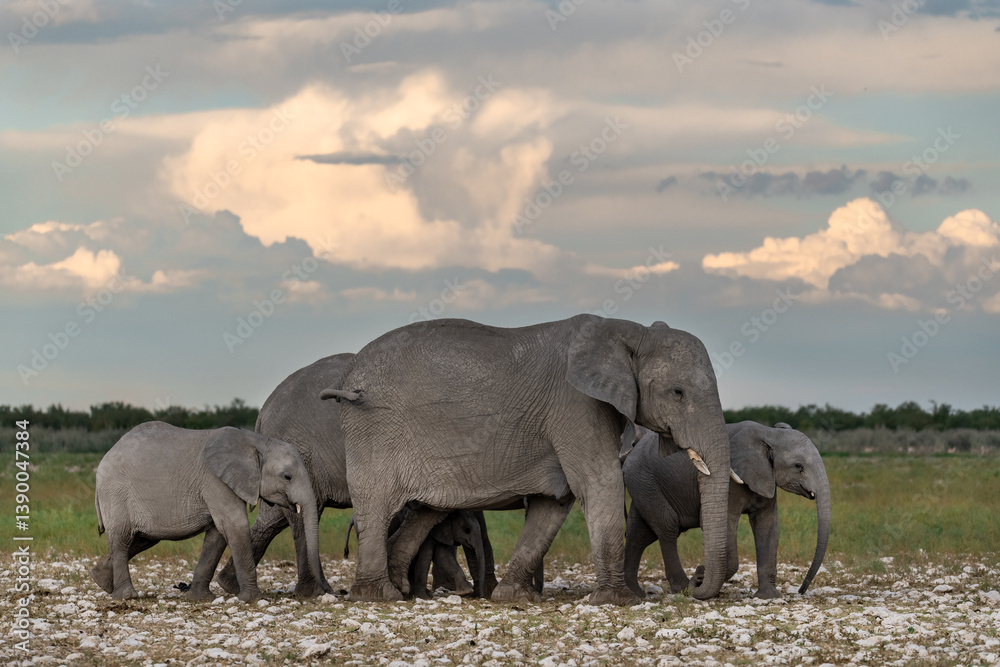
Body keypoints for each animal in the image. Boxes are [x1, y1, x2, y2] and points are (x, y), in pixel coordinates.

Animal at [91, 422, 320, 603]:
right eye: (287, 477)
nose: (323, 591)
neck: (257, 441)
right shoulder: (216, 482)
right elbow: (234, 526)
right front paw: (255, 599)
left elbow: (217, 535)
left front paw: (201, 599)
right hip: (115, 492)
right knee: (122, 538)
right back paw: (127, 596)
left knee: (143, 538)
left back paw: (101, 581)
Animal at [321, 315, 732, 605]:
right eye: (677, 392)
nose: (697, 583)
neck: (632, 331)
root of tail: (347, 382)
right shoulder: (576, 405)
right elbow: (598, 482)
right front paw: (618, 601)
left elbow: (555, 501)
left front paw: (514, 598)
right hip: (372, 430)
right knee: (377, 504)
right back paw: (379, 596)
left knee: (425, 511)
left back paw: (400, 589)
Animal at [623, 421, 830, 599]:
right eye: (798, 466)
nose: (801, 590)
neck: (769, 433)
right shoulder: (731, 481)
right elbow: (727, 523)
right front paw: (700, 575)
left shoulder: (766, 478)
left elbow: (767, 525)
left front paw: (767, 597)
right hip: (645, 481)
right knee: (667, 526)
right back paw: (681, 588)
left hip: (643, 485)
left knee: (640, 534)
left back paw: (635, 591)